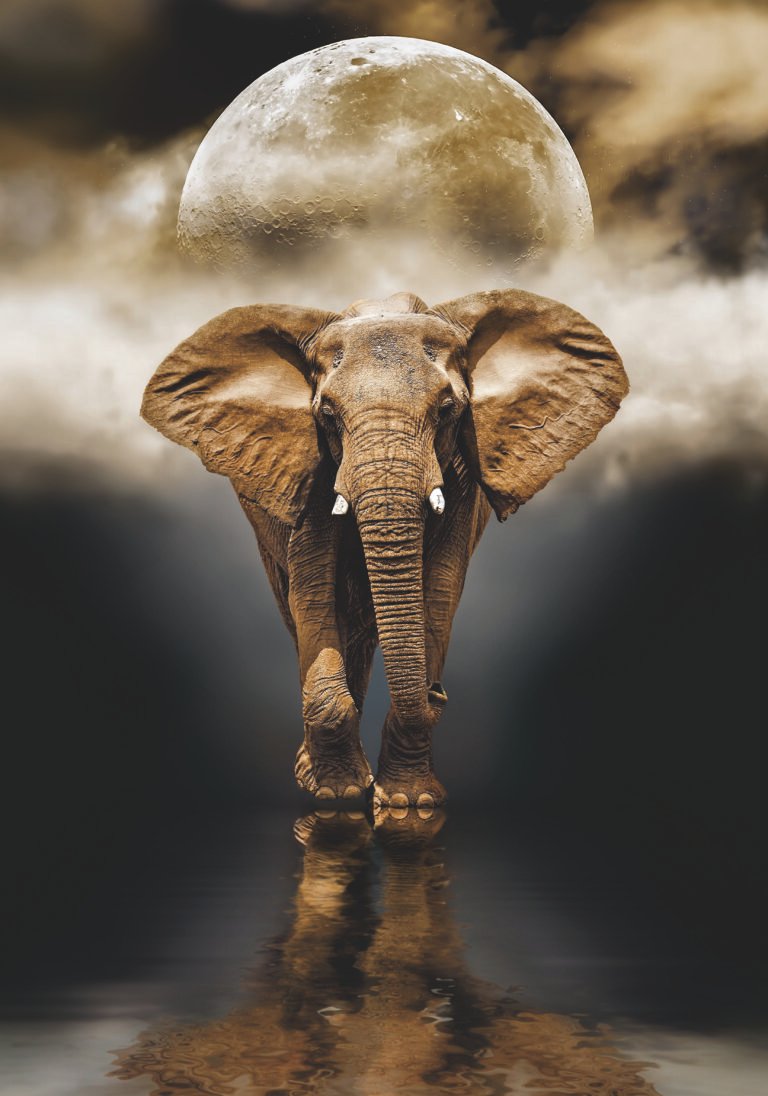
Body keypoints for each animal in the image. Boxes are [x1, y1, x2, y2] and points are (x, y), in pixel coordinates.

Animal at [142, 288, 627, 808]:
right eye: (327, 416)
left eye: (448, 411)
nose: (438, 692)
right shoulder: (314, 470)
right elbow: (313, 590)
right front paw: (336, 795)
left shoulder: (460, 474)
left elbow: (439, 590)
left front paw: (408, 803)